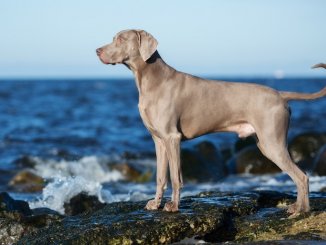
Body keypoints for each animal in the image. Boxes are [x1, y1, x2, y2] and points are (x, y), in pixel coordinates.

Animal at [97, 29, 326, 214]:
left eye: (120, 39)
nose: (97, 51)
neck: (151, 79)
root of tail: (280, 94)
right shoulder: (159, 141)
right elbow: (161, 177)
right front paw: (155, 204)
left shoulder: (172, 138)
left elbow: (176, 177)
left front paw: (173, 206)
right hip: (265, 142)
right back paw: (299, 208)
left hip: (272, 142)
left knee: (302, 176)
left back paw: (301, 210)